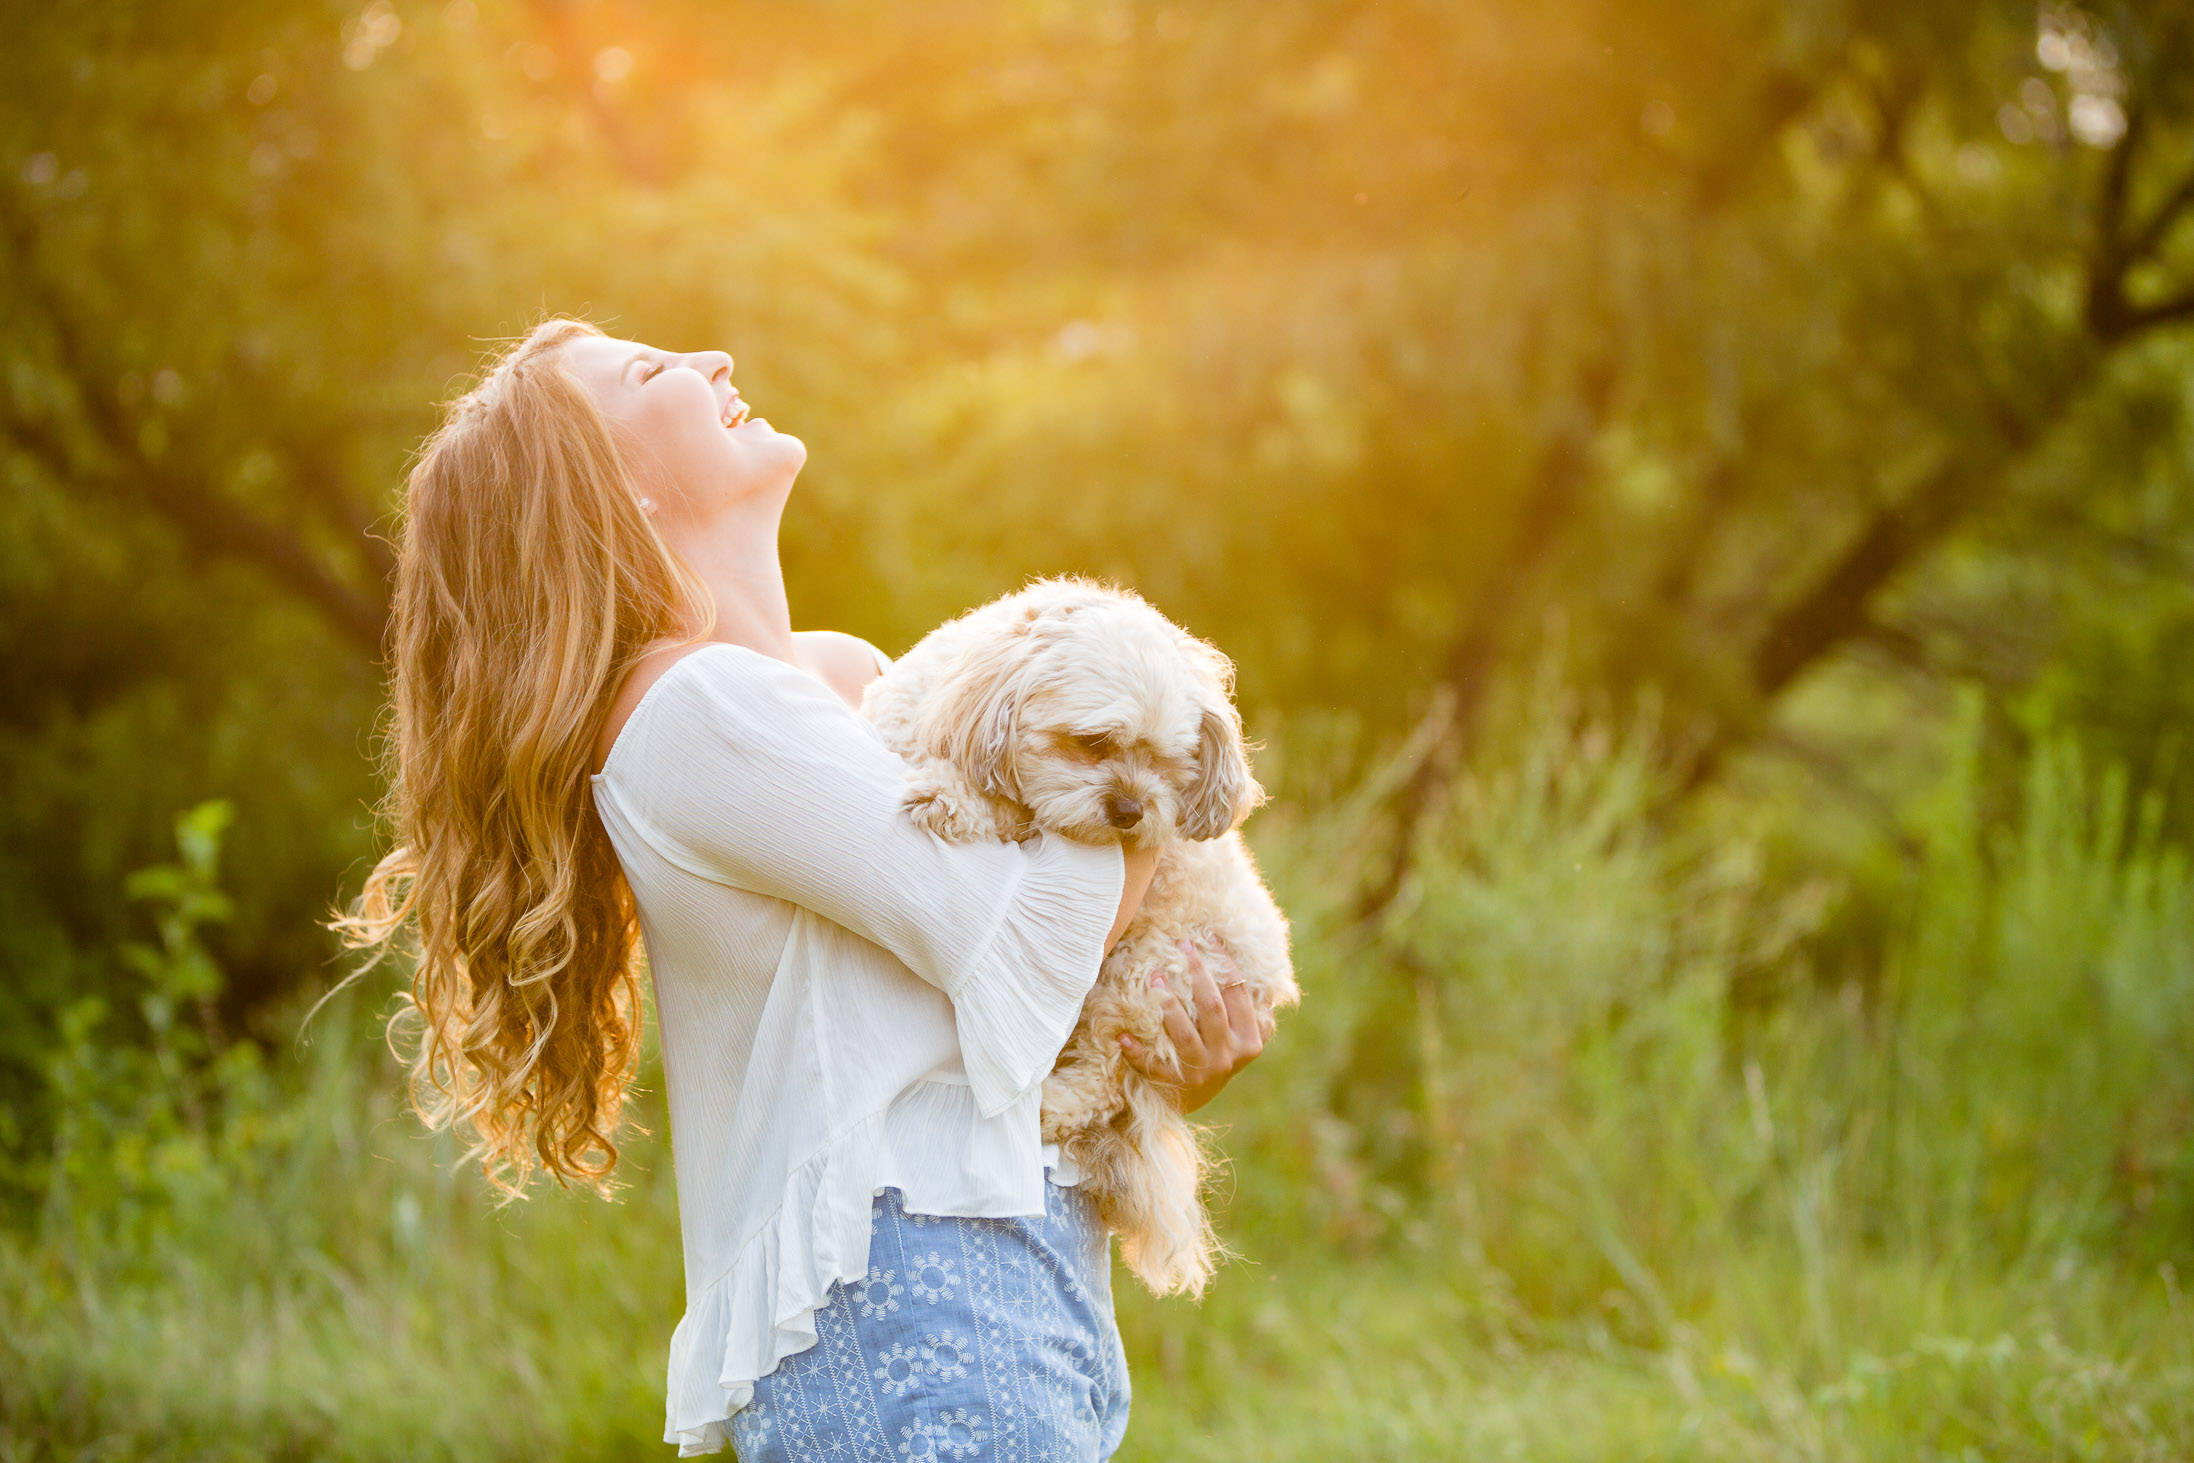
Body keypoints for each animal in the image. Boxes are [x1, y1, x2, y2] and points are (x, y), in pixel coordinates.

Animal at [860, 579, 1298, 1298]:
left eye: (1166, 761)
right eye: (1092, 743)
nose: (1131, 810)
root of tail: (1271, 981)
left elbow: (1008, 811)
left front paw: (954, 798)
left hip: (1145, 972)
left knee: (1104, 1076)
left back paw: (1049, 1108)